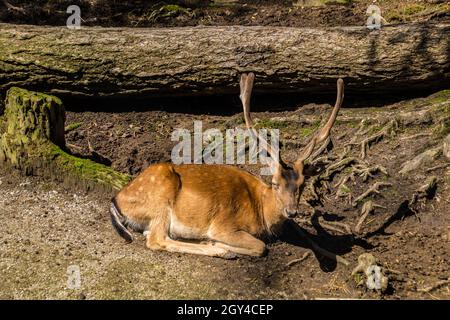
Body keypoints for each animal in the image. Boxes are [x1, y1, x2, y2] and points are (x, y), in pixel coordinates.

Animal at [110, 74, 344, 260]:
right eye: (275, 183)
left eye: (303, 184)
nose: (292, 211)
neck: (261, 211)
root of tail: (116, 199)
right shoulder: (225, 225)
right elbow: (260, 246)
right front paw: (216, 243)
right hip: (161, 198)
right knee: (156, 239)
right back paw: (219, 249)